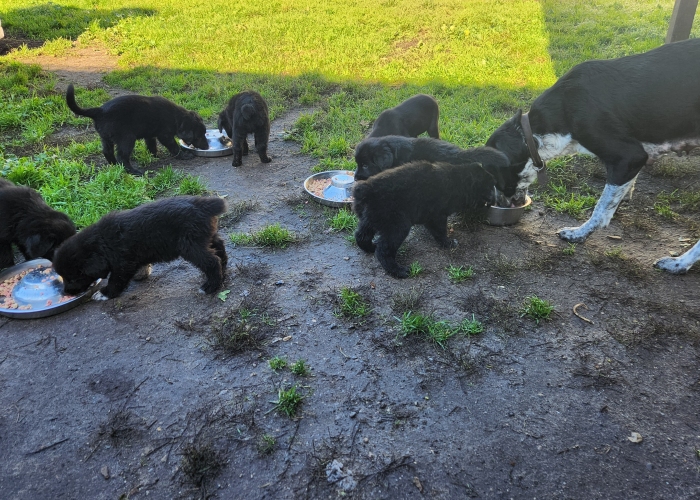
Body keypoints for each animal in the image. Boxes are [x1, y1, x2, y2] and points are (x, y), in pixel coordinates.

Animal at [53, 196, 227, 300]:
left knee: (211, 261)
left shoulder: (123, 264)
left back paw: (210, 286)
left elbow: (116, 280)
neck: (101, 242)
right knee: (220, 248)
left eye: (73, 278)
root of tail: (202, 204)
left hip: (189, 245)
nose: (66, 292)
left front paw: (105, 294)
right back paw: (223, 271)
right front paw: (142, 273)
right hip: (205, 236)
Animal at [356, 161, 498, 280]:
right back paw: (399, 270)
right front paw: (448, 242)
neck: (459, 182)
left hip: (370, 218)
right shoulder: (437, 215)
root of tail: (366, 190)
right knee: (384, 250)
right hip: (397, 224)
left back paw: (370, 247)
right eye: (490, 186)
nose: (495, 199)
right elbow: (440, 231)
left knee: (361, 235)